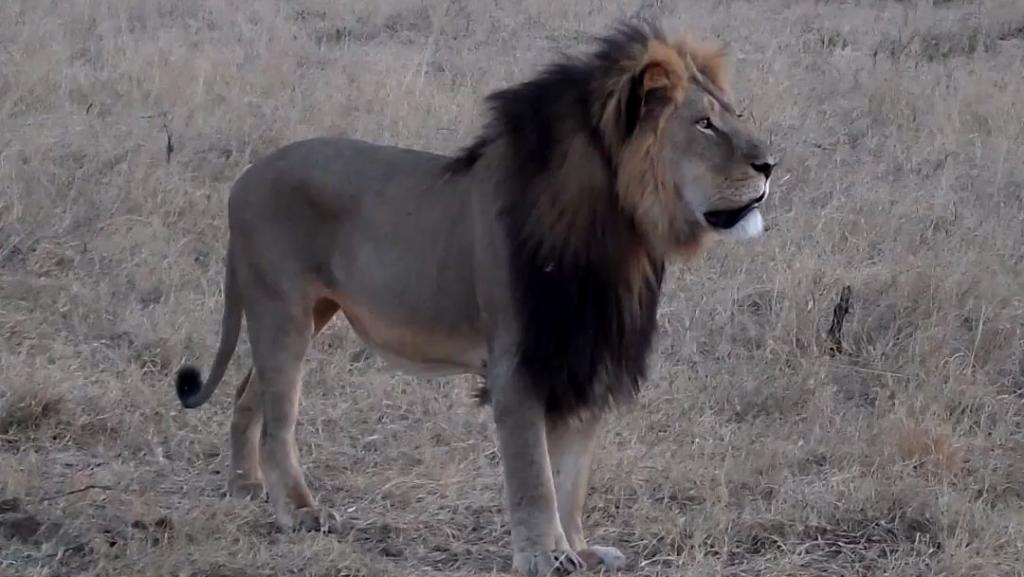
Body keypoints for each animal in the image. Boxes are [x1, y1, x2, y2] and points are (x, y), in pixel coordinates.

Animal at [174, 20, 777, 576]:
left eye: (732, 113)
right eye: (704, 123)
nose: (771, 165)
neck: (620, 234)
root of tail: (244, 179)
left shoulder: (583, 356)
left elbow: (571, 476)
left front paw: (580, 549)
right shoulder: (520, 364)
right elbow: (535, 477)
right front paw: (545, 557)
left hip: (304, 314)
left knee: (246, 393)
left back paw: (245, 486)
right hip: (285, 313)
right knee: (280, 418)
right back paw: (298, 511)